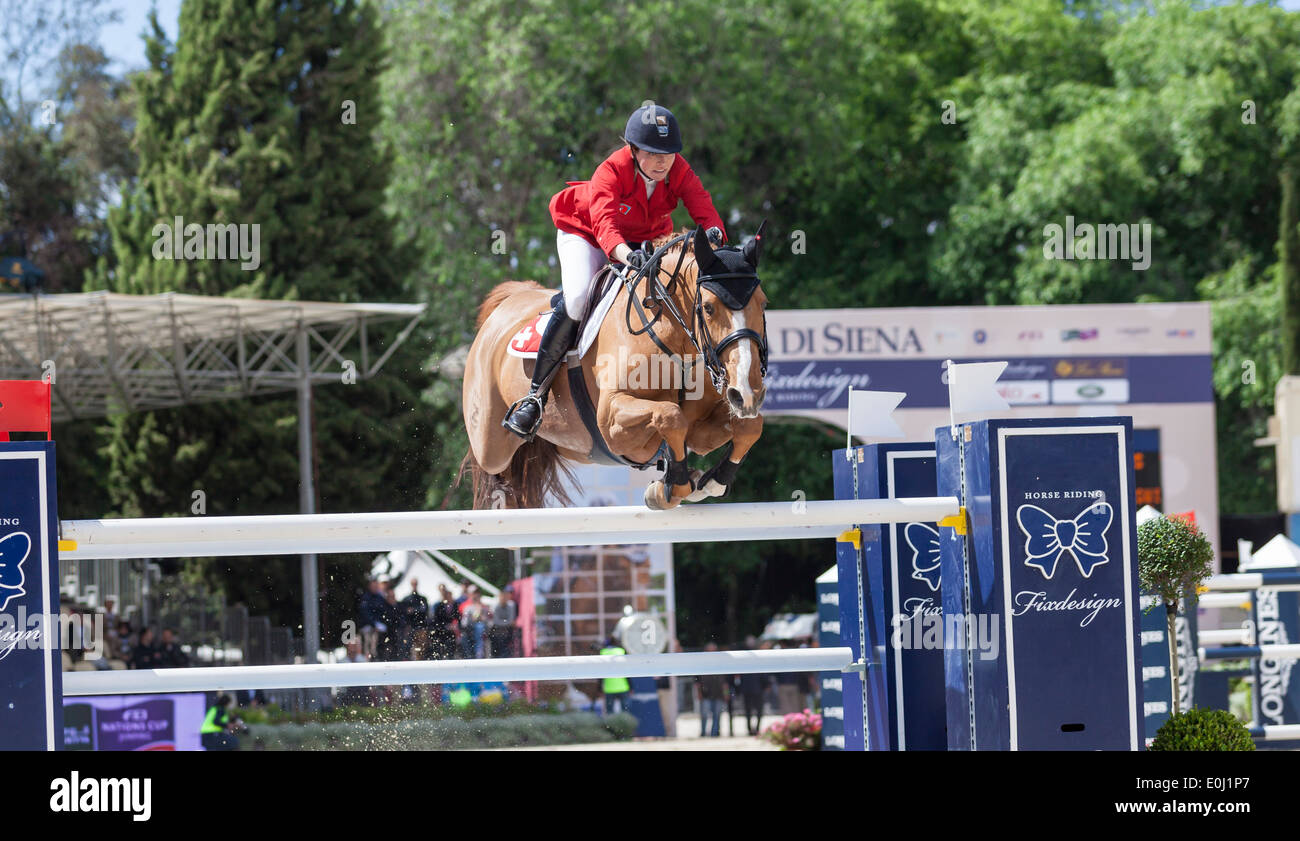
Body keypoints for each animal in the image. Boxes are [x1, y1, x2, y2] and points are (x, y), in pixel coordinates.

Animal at [465, 223, 769, 509]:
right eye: (708, 307)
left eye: (763, 303)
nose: (748, 392)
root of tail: (507, 302)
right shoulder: (612, 420)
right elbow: (670, 416)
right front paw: (672, 487)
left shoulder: (700, 431)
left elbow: (750, 427)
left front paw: (710, 481)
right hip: (492, 446)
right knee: (494, 463)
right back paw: (523, 418)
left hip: (570, 444)